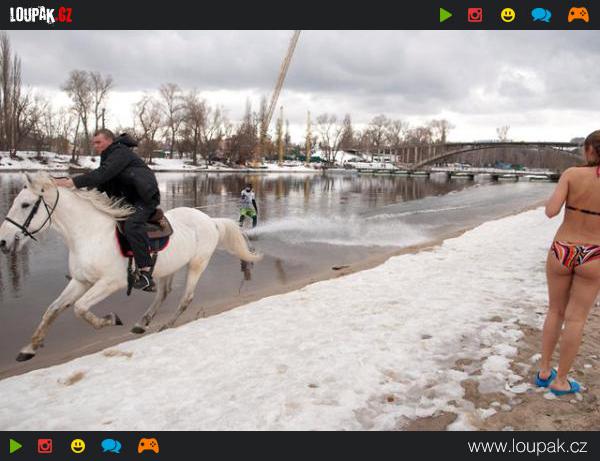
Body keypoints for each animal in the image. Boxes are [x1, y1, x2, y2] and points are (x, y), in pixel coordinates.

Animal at [0, 172, 262, 362]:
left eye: (25, 205)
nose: (3, 242)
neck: (89, 234)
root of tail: (211, 221)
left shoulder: (110, 282)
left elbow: (80, 308)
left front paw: (110, 319)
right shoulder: (81, 281)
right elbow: (53, 309)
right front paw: (30, 348)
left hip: (197, 264)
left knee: (185, 298)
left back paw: (166, 325)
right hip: (168, 268)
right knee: (163, 294)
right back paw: (142, 323)